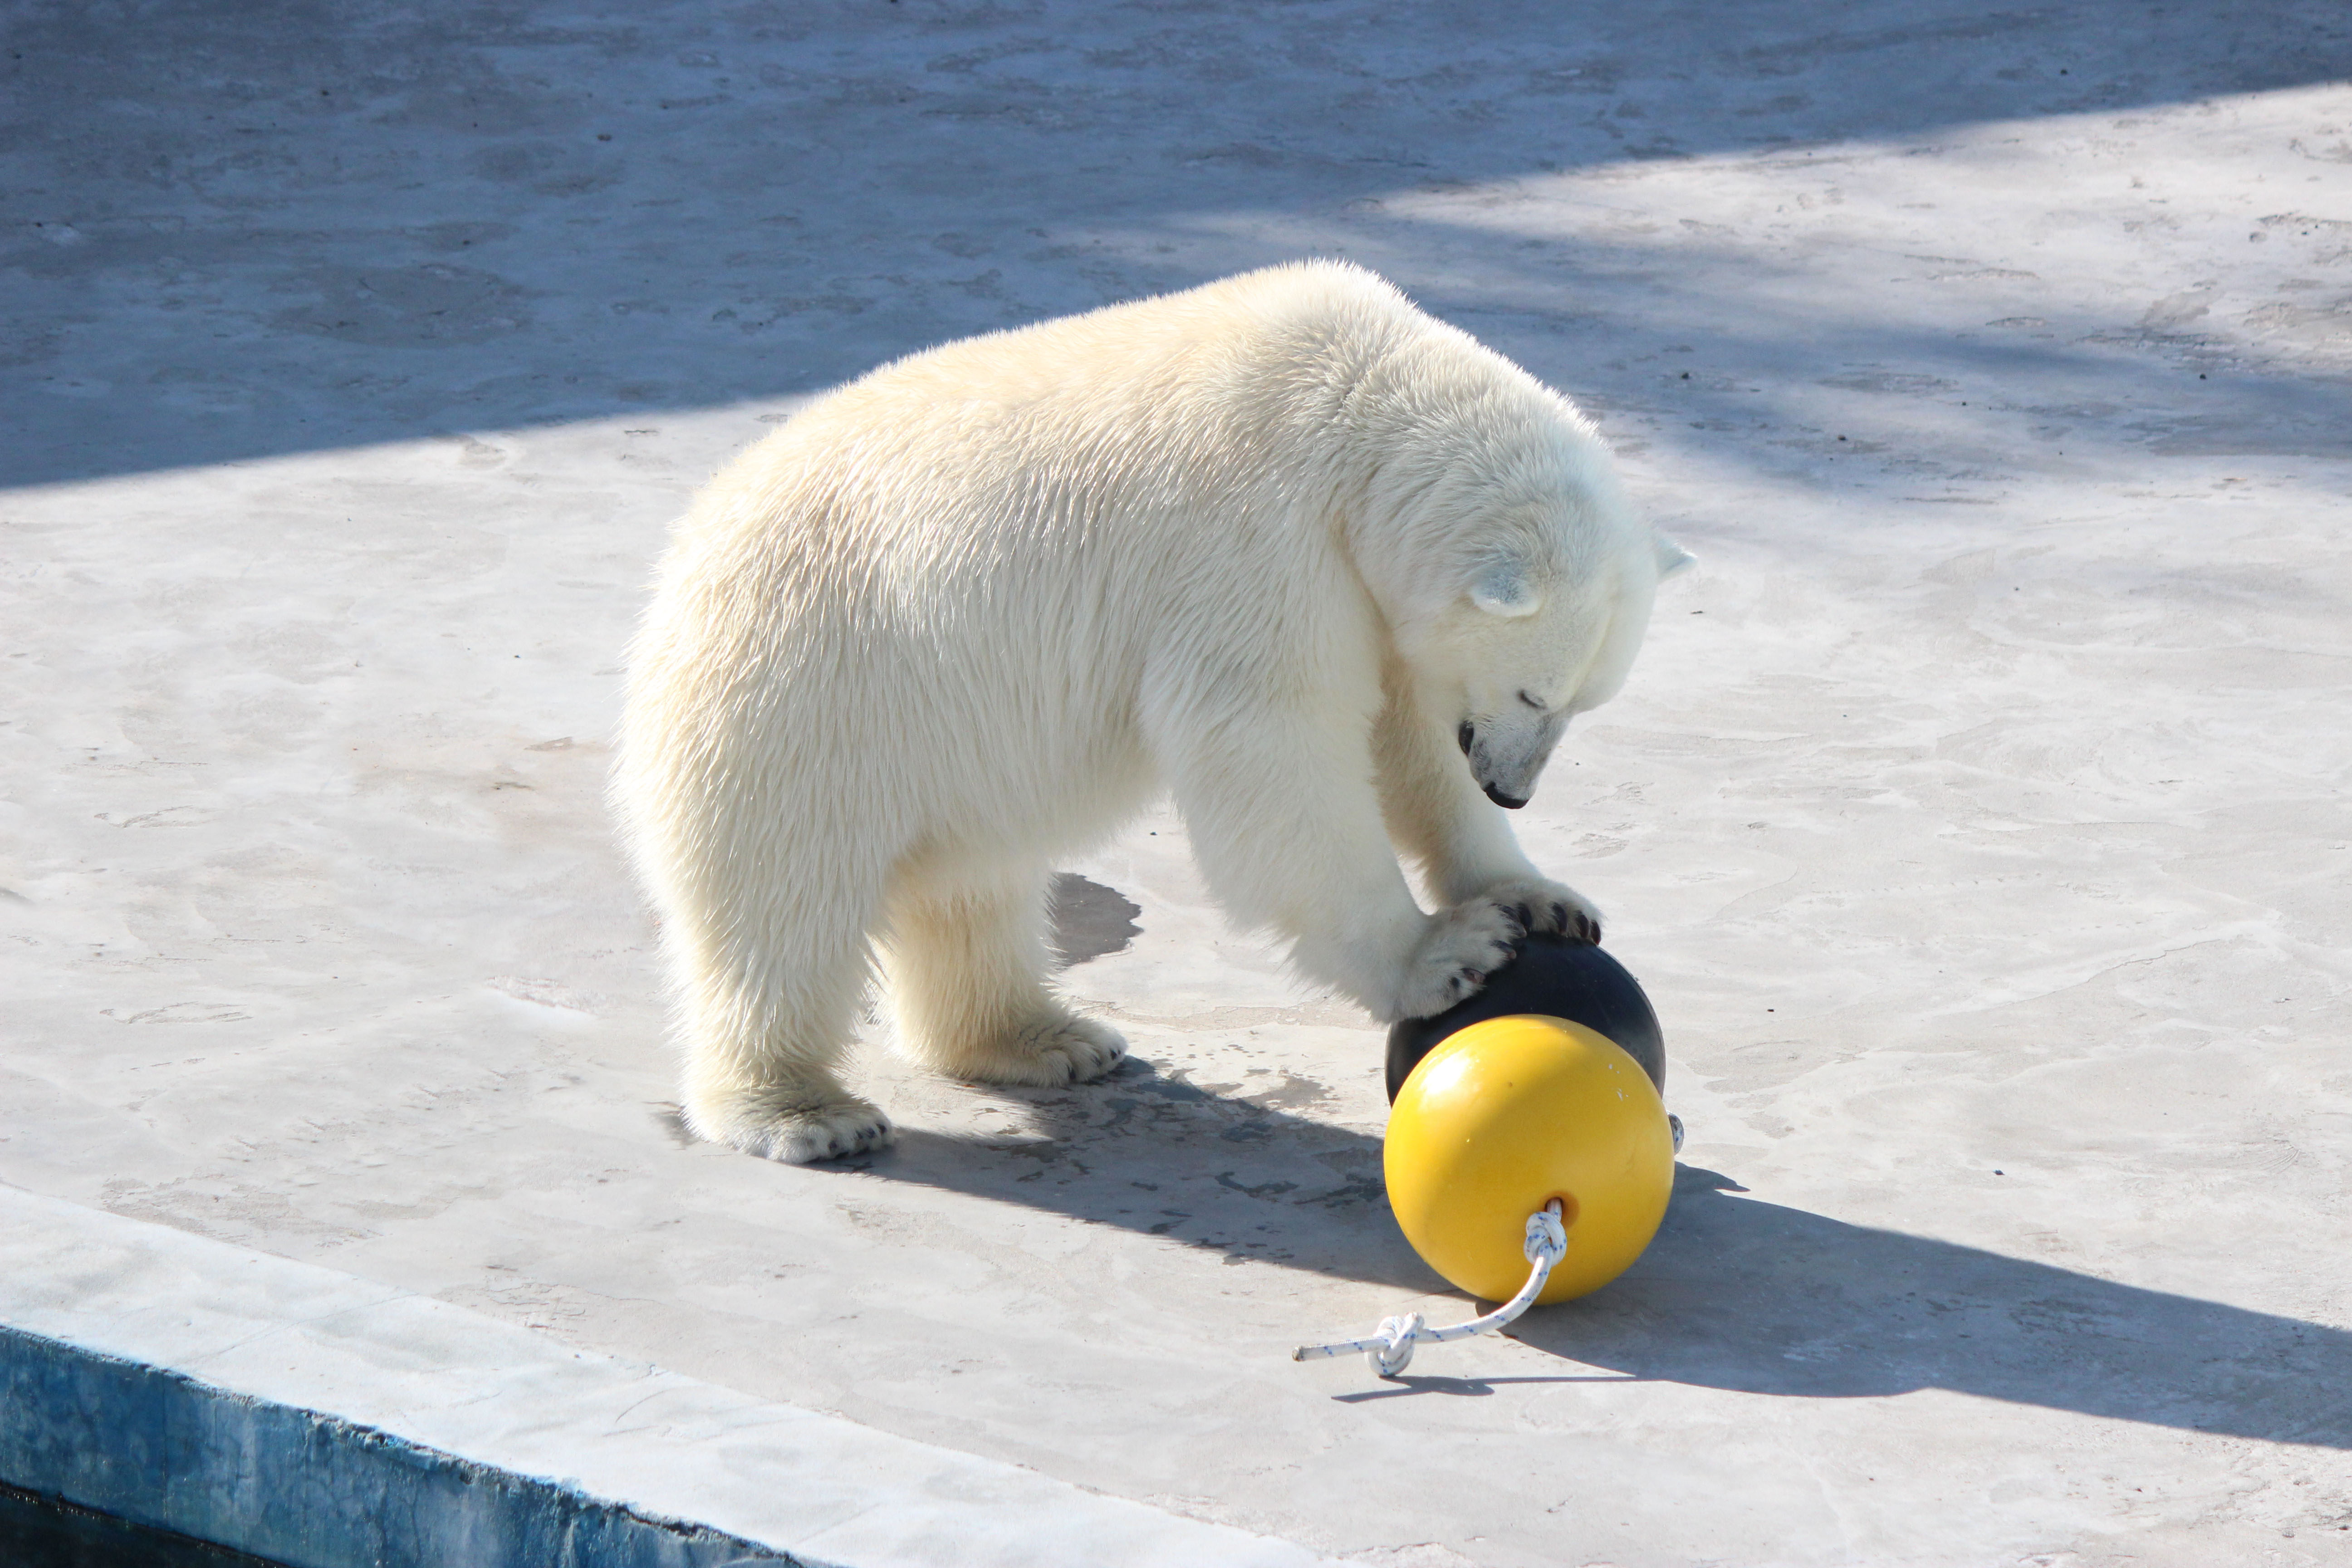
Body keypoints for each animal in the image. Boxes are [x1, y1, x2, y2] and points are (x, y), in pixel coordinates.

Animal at [621, 261, 1693, 1166]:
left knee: (974, 886)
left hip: (942, 734)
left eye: (1583, 702)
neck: (1361, 401)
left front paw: (1537, 896)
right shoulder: (1255, 534)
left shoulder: (1363, 588)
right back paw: (804, 1111)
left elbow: (1405, 740)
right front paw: (1446, 955)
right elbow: (1274, 749)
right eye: (1533, 692)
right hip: (809, 688)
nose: (1511, 790)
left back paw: (1043, 1036)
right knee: (785, 902)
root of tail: (678, 565)